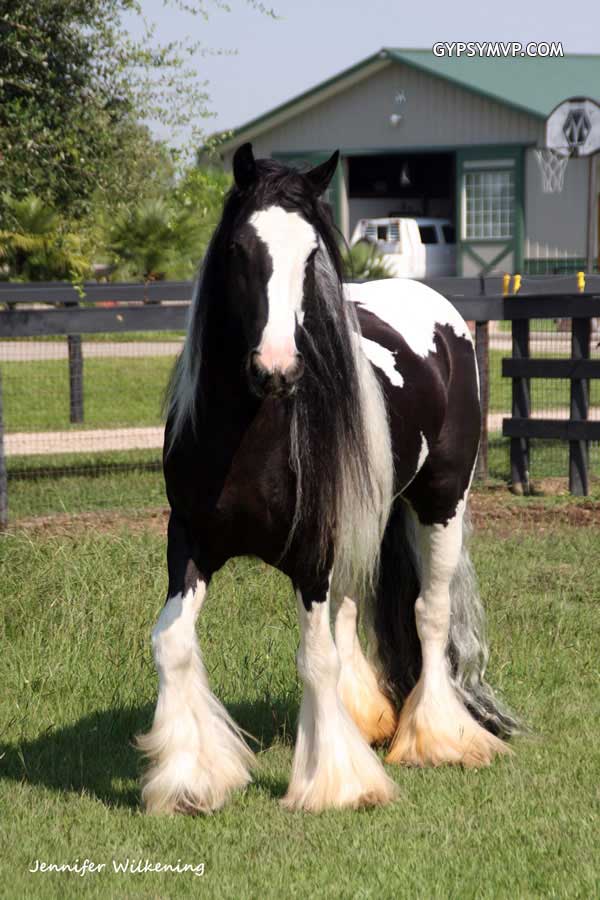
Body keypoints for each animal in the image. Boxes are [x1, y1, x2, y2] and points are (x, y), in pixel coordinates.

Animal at [136, 144, 516, 812]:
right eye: (240, 248)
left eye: (312, 254)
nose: (277, 369)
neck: (250, 438)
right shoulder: (191, 541)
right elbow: (172, 643)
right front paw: (191, 778)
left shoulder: (311, 554)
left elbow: (315, 659)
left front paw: (336, 784)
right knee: (348, 615)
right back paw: (366, 719)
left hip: (441, 502)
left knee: (429, 613)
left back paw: (438, 737)